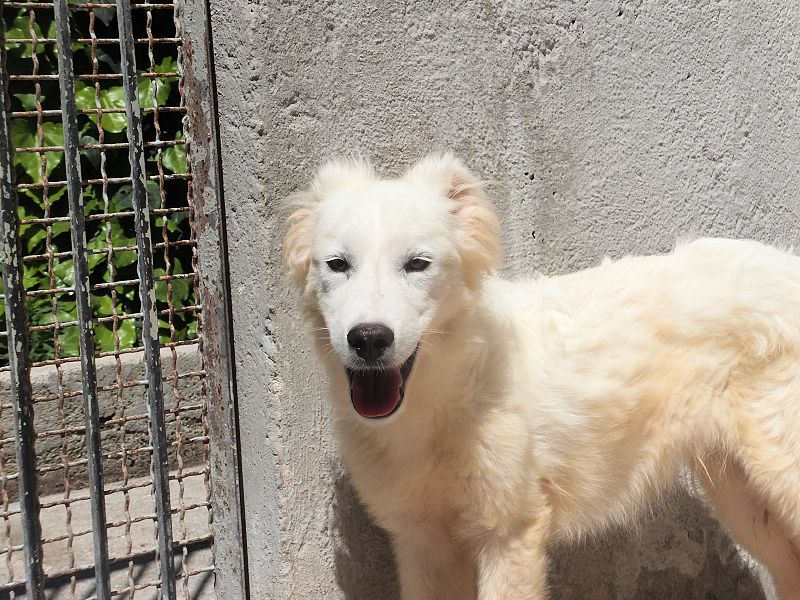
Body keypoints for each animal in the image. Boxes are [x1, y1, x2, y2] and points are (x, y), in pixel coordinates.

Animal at [283, 153, 800, 599]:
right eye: (337, 265)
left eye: (417, 264)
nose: (369, 339)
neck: (445, 398)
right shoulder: (422, 539)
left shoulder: (510, 532)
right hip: (743, 498)